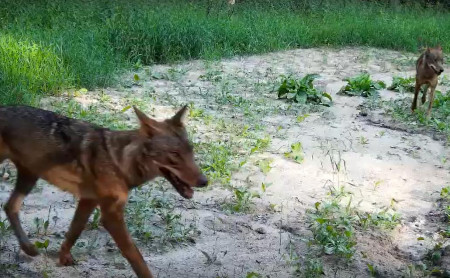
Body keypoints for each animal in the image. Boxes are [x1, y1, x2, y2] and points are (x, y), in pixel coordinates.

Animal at [0, 105, 207, 278]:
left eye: (191, 151)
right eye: (174, 155)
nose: (205, 182)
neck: (120, 161)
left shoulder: (88, 200)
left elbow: (73, 232)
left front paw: (64, 257)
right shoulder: (111, 215)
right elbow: (135, 256)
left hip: (29, 176)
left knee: (9, 206)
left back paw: (28, 248)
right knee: (9, 206)